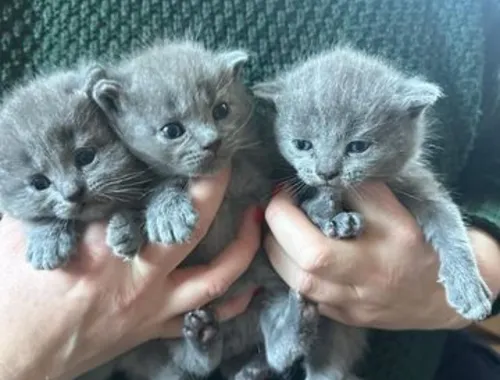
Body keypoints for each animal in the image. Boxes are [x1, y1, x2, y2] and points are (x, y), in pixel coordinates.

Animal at [78, 40, 306, 380]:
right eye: (173, 130)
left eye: (221, 110)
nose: (213, 142)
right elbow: (156, 187)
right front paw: (132, 228)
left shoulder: (251, 172)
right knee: (193, 363)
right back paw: (204, 339)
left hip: (267, 284)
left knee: (276, 339)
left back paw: (286, 334)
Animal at [254, 46, 492, 378]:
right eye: (302, 144)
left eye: (358, 147)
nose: (326, 172)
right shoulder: (293, 185)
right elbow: (308, 203)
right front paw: (329, 212)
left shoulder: (418, 185)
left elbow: (451, 227)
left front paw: (469, 290)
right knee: (274, 348)